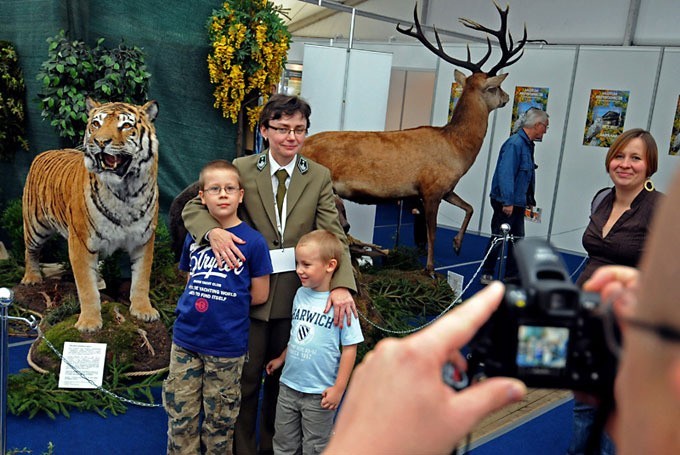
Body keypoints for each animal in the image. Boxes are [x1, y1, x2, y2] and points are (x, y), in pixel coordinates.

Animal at [22, 100, 161, 332]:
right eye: (96, 124)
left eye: (125, 126)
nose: (100, 141)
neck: (125, 193)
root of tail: (45, 152)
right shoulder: (80, 242)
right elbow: (85, 287)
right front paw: (89, 322)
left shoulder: (143, 239)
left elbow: (142, 278)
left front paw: (143, 310)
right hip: (35, 226)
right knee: (30, 251)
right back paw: (31, 278)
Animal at [302, 3, 532, 272]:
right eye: (494, 87)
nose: (506, 98)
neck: (457, 149)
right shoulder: (431, 188)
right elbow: (432, 232)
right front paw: (430, 269)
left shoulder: (446, 188)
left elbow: (470, 208)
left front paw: (457, 245)